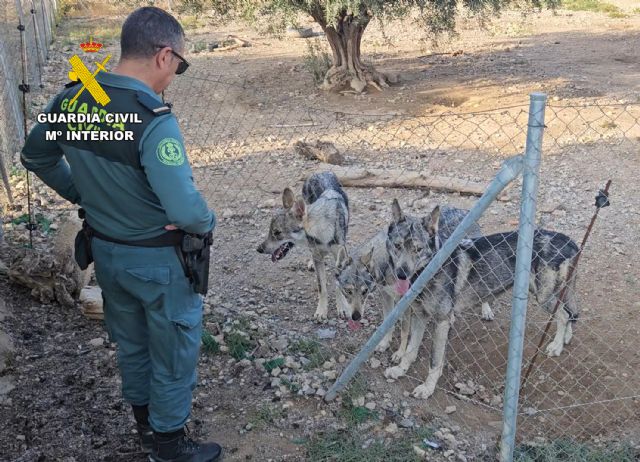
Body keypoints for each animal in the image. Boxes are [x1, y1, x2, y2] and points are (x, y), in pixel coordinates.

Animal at [257, 172, 350, 321]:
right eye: (270, 231)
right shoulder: (317, 254)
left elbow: (338, 283)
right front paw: (321, 311)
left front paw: (342, 308)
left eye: (277, 233)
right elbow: (321, 287)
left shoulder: (339, 257)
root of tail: (320, 172)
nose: (259, 249)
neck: (322, 232)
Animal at [334, 205, 485, 362]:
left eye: (364, 291)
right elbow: (387, 323)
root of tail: (460, 209)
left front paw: (400, 353)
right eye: (348, 291)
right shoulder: (386, 295)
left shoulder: (406, 302)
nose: (356, 317)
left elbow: (405, 330)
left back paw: (486, 311)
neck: (387, 264)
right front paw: (384, 343)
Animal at [383, 200, 579, 400]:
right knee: (571, 312)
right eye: (398, 246)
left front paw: (427, 388)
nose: (401, 274)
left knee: (564, 315)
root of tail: (568, 240)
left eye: (418, 249)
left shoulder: (442, 321)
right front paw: (400, 370)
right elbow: (410, 349)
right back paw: (566, 338)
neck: (429, 270)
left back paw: (556, 346)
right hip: (549, 293)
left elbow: (435, 361)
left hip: (543, 297)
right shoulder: (419, 316)